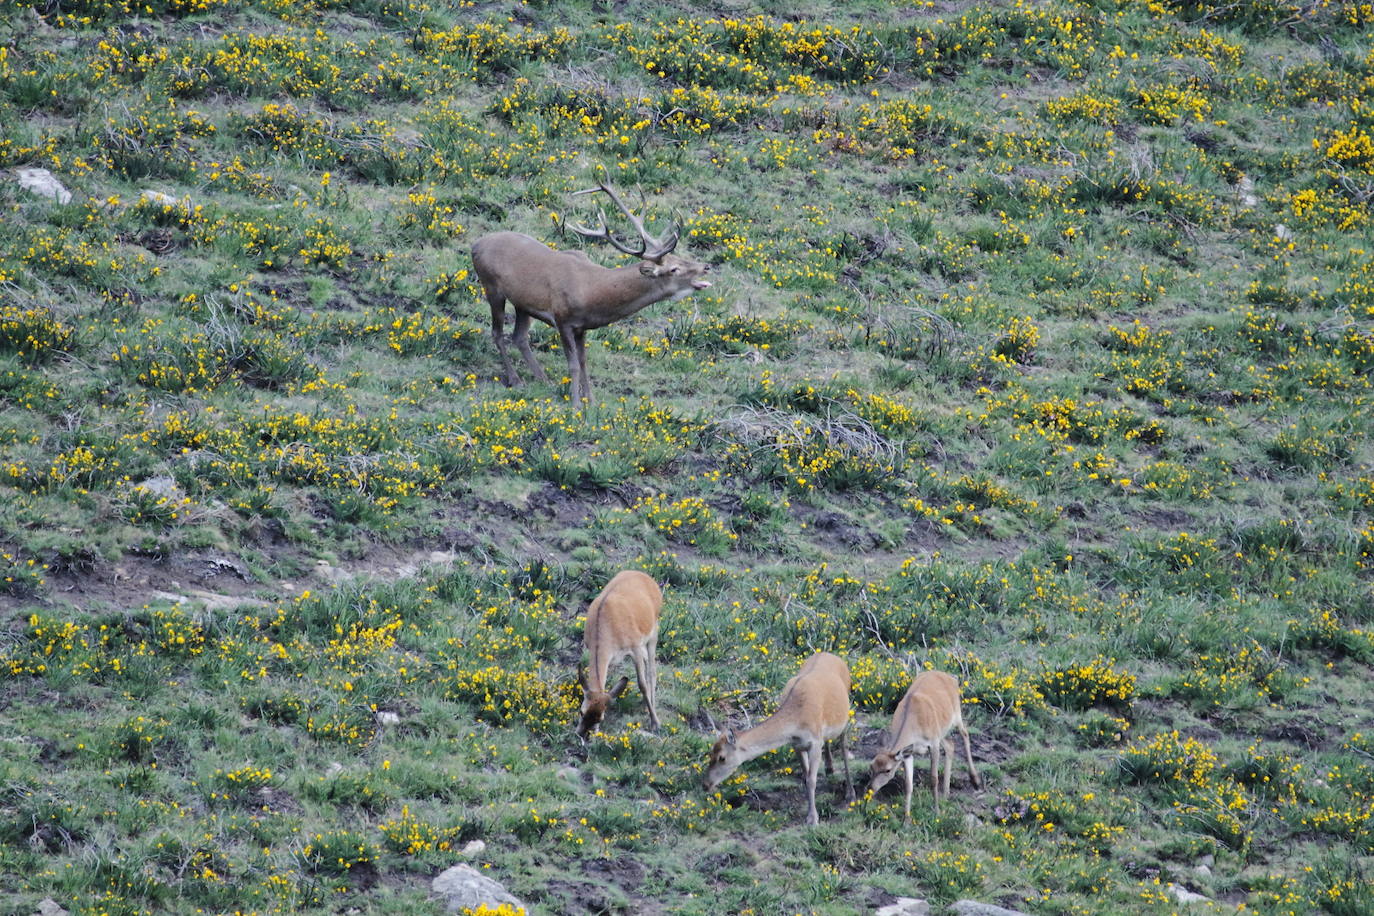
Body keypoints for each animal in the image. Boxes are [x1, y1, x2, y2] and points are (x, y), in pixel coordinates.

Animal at [469, 181, 714, 403]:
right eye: (674, 269)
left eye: (681, 258)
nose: (706, 267)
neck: (591, 293)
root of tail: (475, 245)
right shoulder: (562, 318)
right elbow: (573, 365)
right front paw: (576, 405)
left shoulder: (582, 326)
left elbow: (583, 361)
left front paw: (591, 401)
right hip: (491, 286)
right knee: (497, 333)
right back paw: (516, 379)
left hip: (522, 303)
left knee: (519, 336)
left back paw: (544, 380)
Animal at [574, 568, 665, 741]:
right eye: (582, 712)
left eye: (601, 718)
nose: (583, 734)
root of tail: (647, 577)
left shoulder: (634, 648)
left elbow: (642, 684)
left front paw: (655, 723)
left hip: (653, 633)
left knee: (652, 672)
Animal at [703, 648, 851, 829]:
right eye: (710, 753)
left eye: (722, 757)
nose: (705, 784)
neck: (796, 721)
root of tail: (831, 654)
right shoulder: (797, 744)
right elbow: (805, 776)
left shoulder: (815, 741)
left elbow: (812, 780)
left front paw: (813, 819)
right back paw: (830, 768)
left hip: (846, 712)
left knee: (844, 745)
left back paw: (851, 793)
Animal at [862, 670, 983, 818]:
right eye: (871, 766)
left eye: (887, 770)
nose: (869, 789)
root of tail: (952, 678)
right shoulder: (908, 753)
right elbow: (908, 785)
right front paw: (906, 819)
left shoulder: (933, 743)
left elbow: (934, 779)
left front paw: (936, 811)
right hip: (941, 730)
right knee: (950, 745)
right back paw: (946, 794)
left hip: (956, 714)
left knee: (965, 734)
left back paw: (975, 781)